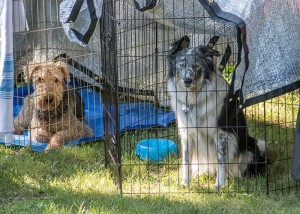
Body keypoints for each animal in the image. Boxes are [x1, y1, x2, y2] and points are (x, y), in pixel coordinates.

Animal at [168, 36, 266, 188]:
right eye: (181, 65)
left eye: (196, 66)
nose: (187, 81)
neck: (194, 99)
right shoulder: (187, 134)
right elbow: (186, 161)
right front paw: (185, 183)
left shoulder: (222, 133)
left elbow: (221, 161)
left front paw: (219, 185)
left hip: (250, 148)